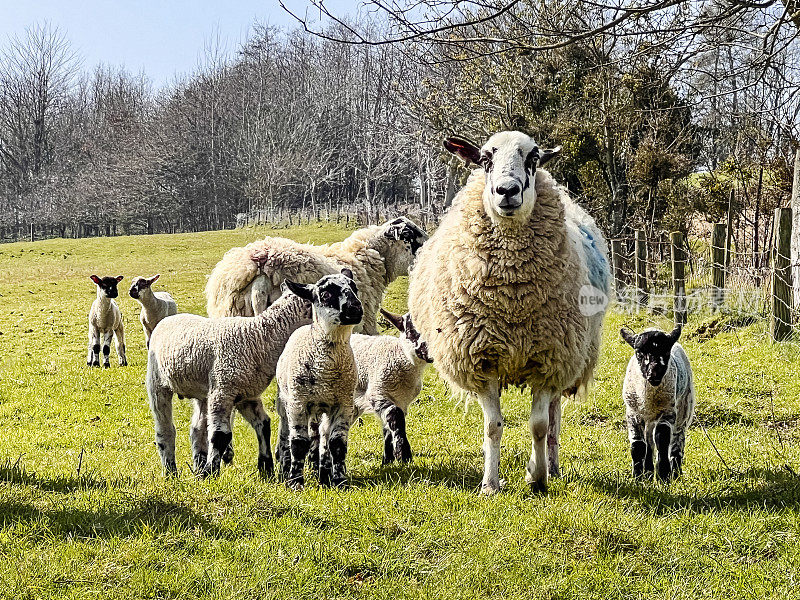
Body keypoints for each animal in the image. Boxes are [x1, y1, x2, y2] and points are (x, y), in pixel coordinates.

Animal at [147, 286, 312, 478]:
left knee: (197, 429)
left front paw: (266, 466)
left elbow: (263, 424)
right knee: (165, 429)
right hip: (157, 382)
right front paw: (210, 472)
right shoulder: (224, 390)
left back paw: (198, 465)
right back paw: (170, 470)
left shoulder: (246, 393)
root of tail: (168, 319)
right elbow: (220, 436)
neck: (259, 339)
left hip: (204, 391)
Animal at [276, 270, 362, 490]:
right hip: (286, 401)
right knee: (286, 436)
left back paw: (320, 470)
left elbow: (337, 444)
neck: (326, 371)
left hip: (319, 409)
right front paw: (295, 482)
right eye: (325, 294)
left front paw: (339, 481)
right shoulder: (298, 403)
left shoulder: (344, 404)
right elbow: (298, 443)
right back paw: (285, 468)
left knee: (319, 436)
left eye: (354, 288)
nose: (355, 308)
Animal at [410, 130, 608, 492]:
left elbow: (539, 426)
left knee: (555, 417)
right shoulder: (482, 359)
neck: (513, 294)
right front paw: (490, 484)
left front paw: (538, 478)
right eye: (485, 159)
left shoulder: (548, 360)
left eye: (533, 158)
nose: (507, 191)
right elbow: (493, 426)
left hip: (569, 356)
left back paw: (552, 467)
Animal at [620, 326, 692, 480]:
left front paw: (664, 474)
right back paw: (648, 471)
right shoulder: (632, 413)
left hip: (684, 408)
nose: (654, 374)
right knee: (648, 442)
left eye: (666, 352)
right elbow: (638, 445)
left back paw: (676, 473)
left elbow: (662, 438)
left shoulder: (668, 412)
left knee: (677, 441)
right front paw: (638, 476)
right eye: (639, 353)